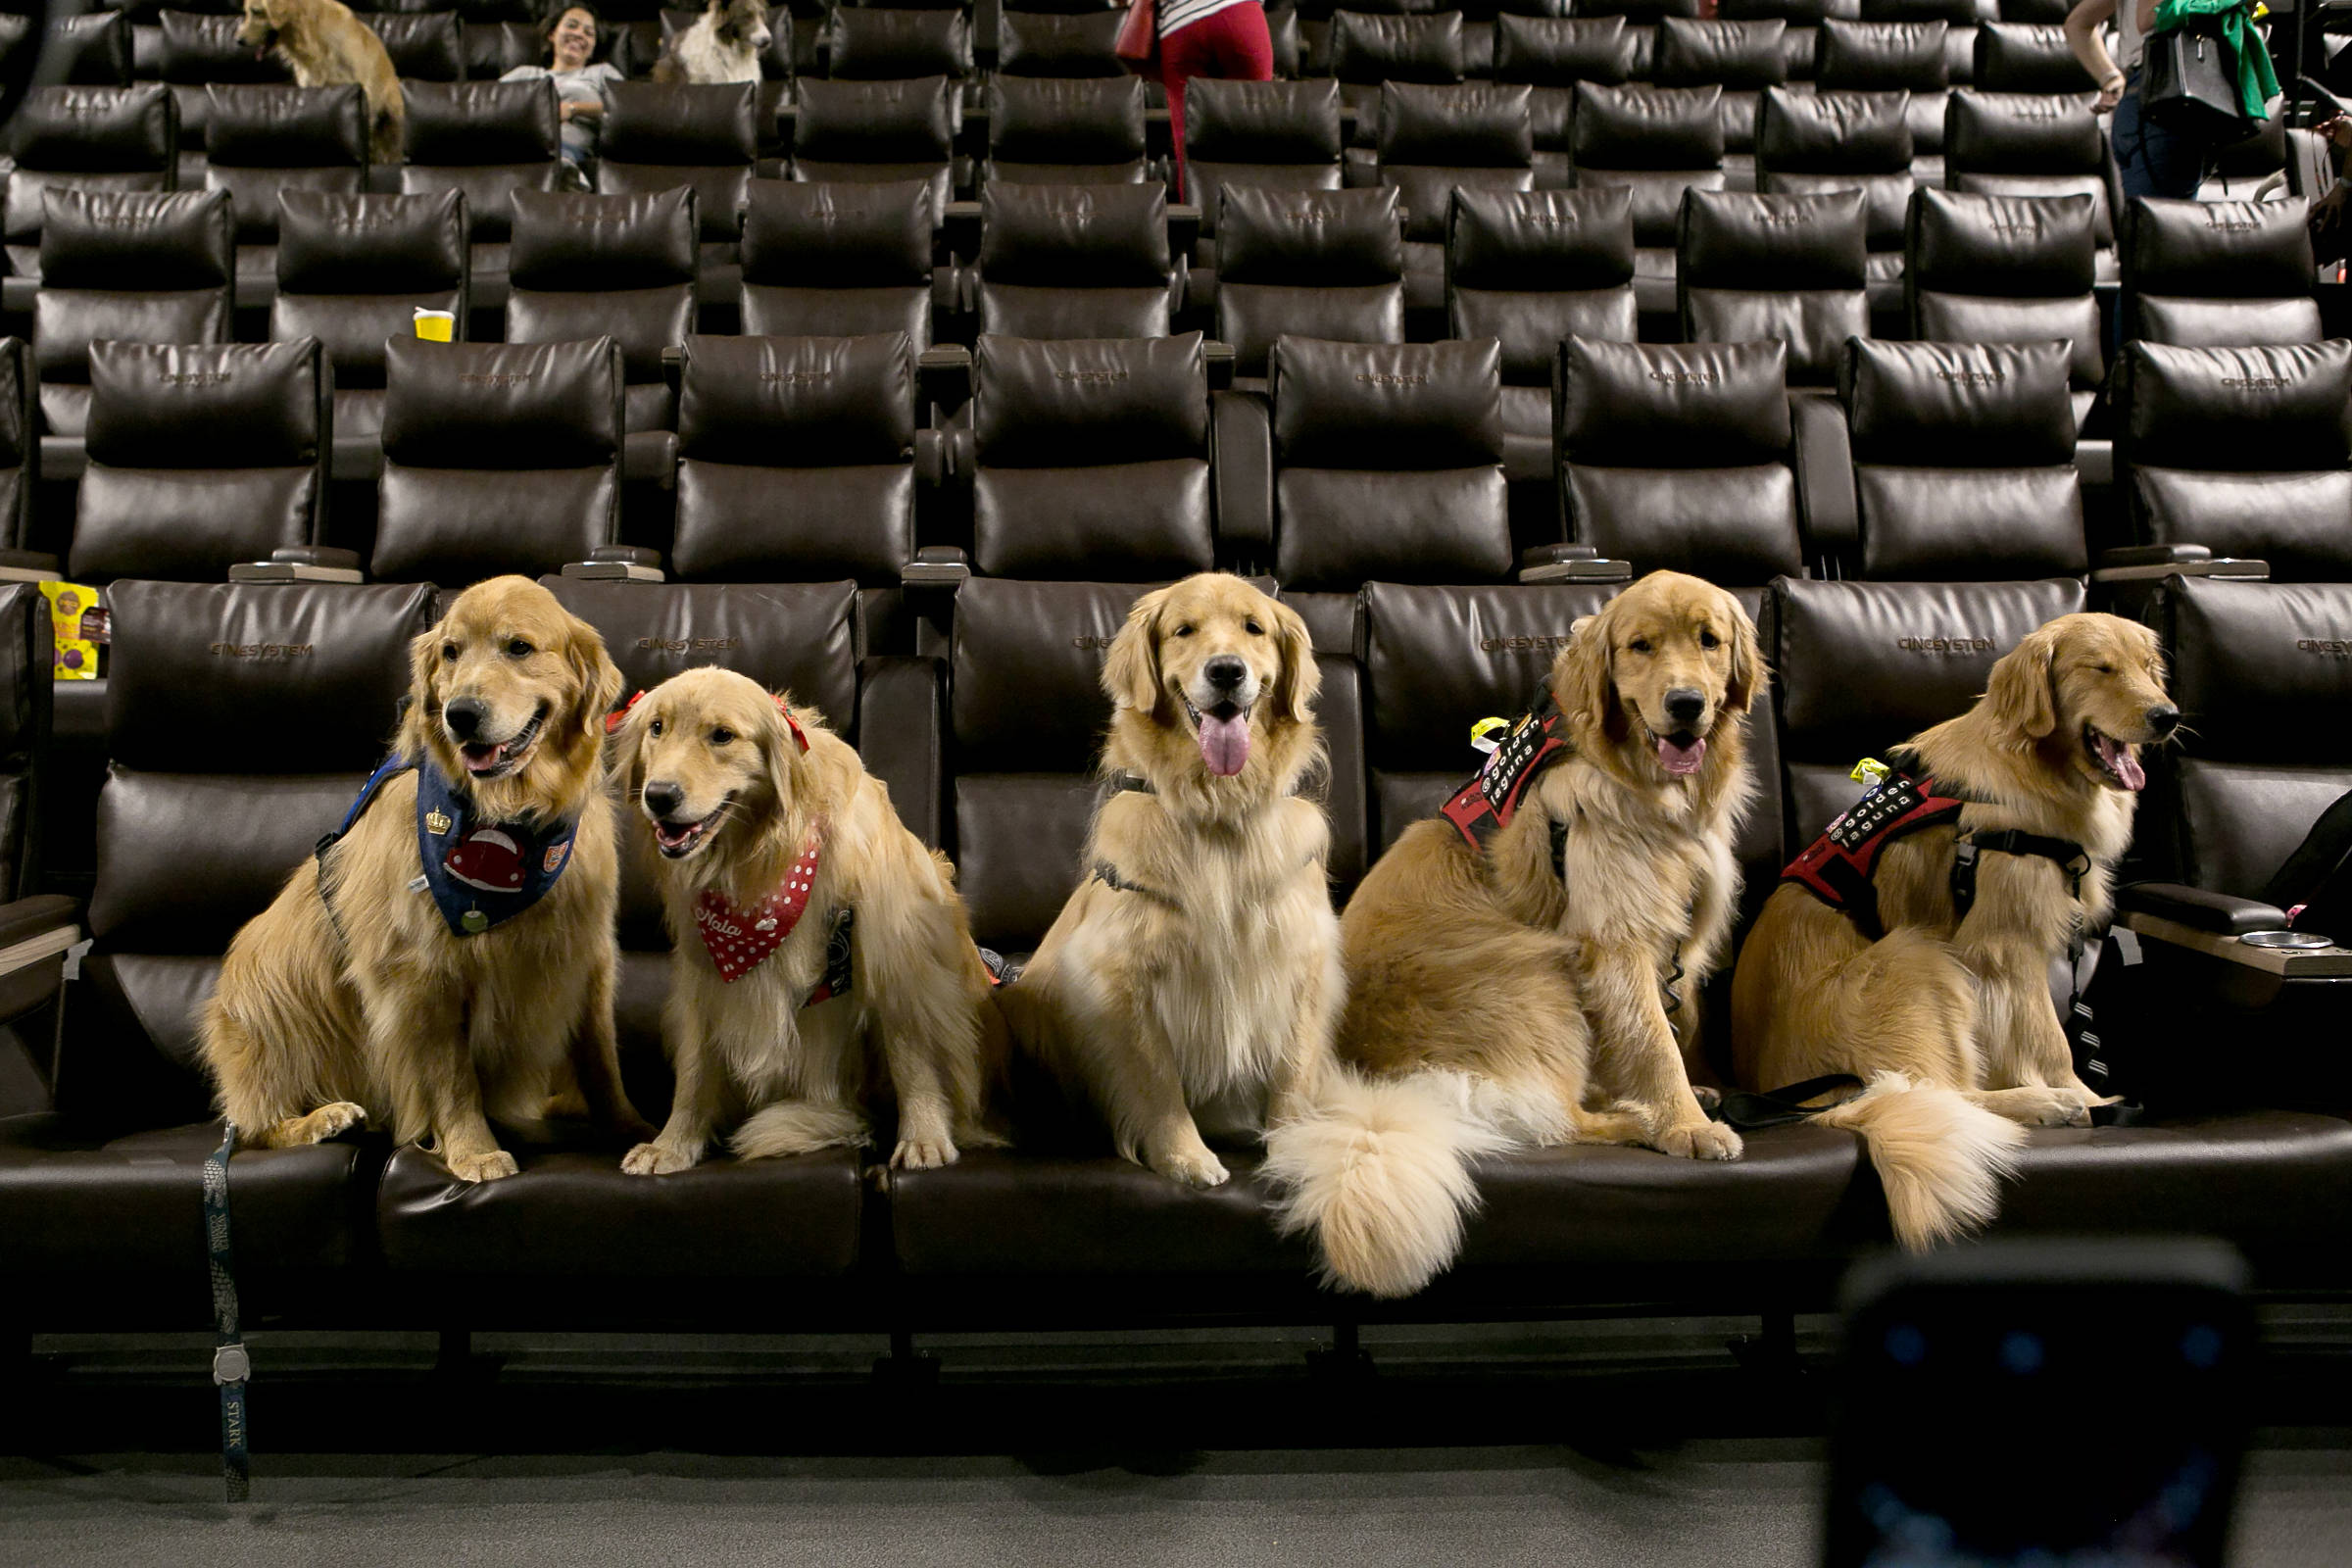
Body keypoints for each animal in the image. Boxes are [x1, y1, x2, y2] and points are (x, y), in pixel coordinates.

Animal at [607, 667, 1002, 1170]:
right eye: (657, 727)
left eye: (722, 735)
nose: (658, 796)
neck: (763, 863)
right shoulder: (703, 975)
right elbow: (695, 1068)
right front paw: (672, 1144)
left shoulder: (894, 952)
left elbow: (912, 1056)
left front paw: (924, 1137)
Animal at [1002, 575, 1354, 1203]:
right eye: (1183, 631)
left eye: (1253, 628)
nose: (1227, 671)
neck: (1217, 812)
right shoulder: (1124, 974)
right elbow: (1157, 1079)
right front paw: (1185, 1157)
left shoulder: (1300, 960)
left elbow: (1293, 1068)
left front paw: (1294, 1146)